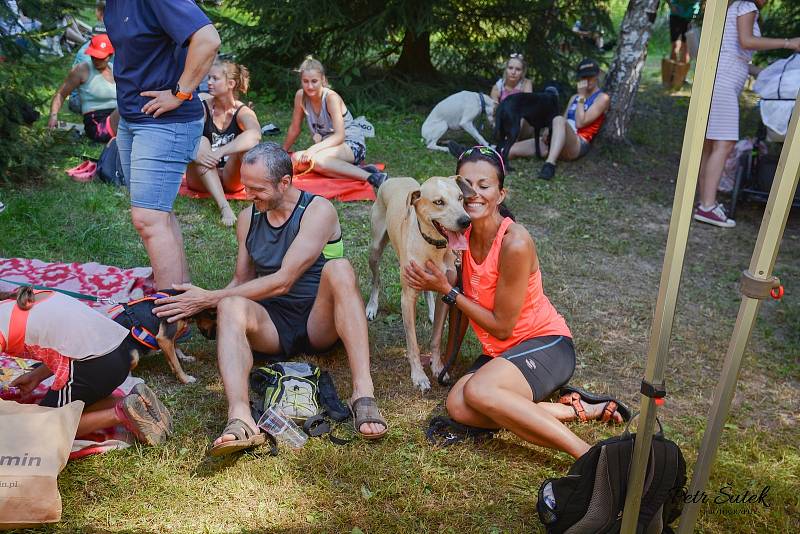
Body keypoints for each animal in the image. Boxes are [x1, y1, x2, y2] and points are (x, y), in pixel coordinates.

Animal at [368, 178, 476, 392]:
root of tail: (393, 178)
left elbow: (436, 338)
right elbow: (413, 344)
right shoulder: (407, 298)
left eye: (460, 197)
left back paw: (432, 312)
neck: (434, 246)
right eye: (439, 202)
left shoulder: (446, 293)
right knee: (376, 279)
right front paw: (419, 376)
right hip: (375, 249)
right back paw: (372, 306)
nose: (465, 221)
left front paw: (438, 368)